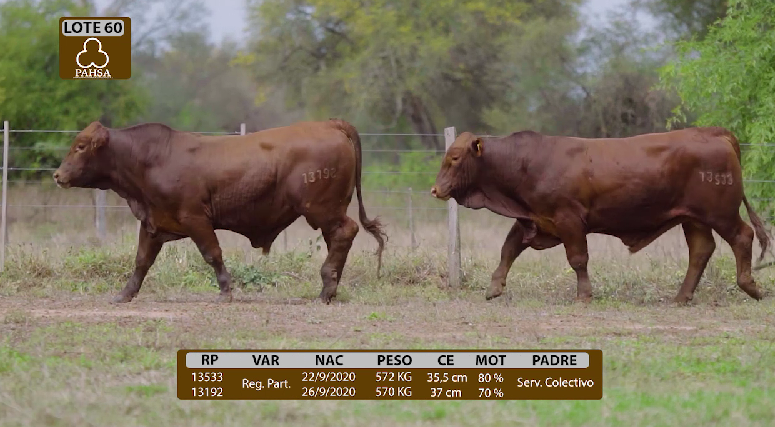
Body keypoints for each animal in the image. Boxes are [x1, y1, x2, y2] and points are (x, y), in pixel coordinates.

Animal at [53, 119, 387, 304]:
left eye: (80, 146)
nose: (58, 175)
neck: (154, 158)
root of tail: (330, 123)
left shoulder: (195, 219)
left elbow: (212, 254)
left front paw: (226, 291)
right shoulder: (154, 224)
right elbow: (141, 262)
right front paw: (125, 294)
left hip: (321, 209)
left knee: (346, 232)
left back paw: (326, 289)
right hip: (329, 211)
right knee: (338, 239)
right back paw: (330, 287)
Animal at [430, 127, 771, 304]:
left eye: (455, 158)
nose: (435, 189)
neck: (527, 162)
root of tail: (713, 133)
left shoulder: (569, 220)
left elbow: (578, 259)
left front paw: (584, 294)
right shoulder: (535, 220)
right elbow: (509, 248)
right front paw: (494, 287)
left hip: (720, 213)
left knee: (742, 236)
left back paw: (750, 286)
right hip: (694, 219)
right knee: (701, 251)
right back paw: (681, 296)